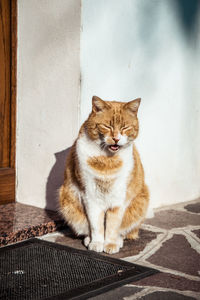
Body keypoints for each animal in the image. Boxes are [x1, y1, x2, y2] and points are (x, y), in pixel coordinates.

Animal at [58, 96, 149, 253]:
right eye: (107, 126)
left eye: (125, 127)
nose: (116, 139)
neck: (107, 161)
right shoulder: (90, 196)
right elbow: (96, 224)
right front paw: (97, 243)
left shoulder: (119, 198)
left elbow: (113, 225)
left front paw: (110, 244)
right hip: (67, 200)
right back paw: (88, 239)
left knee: (124, 231)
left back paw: (118, 241)